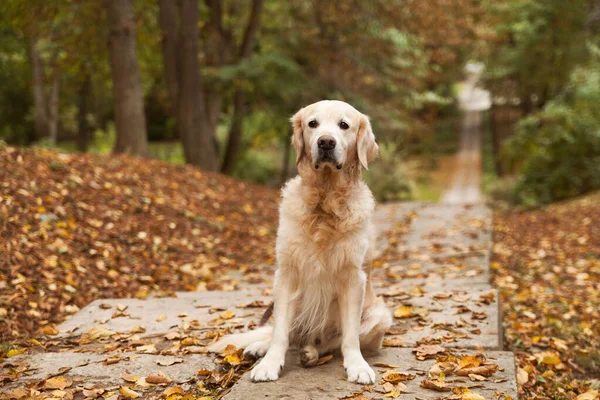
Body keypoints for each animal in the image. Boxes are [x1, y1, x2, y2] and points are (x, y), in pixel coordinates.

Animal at [209, 100, 392, 384]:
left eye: (344, 125)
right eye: (312, 124)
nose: (325, 142)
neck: (325, 200)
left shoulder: (353, 277)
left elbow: (350, 336)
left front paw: (357, 366)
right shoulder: (287, 273)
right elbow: (280, 332)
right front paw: (269, 363)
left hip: (380, 317)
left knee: (330, 341)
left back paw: (311, 352)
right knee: (285, 333)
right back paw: (261, 347)